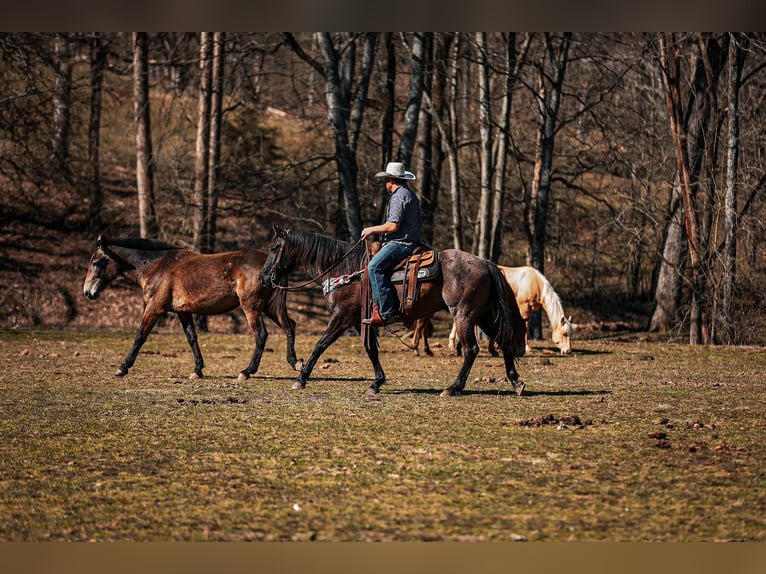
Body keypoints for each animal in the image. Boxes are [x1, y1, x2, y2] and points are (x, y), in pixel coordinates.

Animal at [82, 234, 302, 382]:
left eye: (96, 262)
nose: (87, 292)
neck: (157, 266)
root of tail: (271, 267)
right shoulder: (183, 312)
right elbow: (192, 338)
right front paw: (197, 370)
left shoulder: (154, 309)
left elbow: (140, 337)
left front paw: (123, 367)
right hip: (270, 307)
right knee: (289, 326)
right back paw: (295, 362)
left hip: (252, 307)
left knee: (261, 335)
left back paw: (246, 372)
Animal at [260, 227, 532, 398]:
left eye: (275, 247)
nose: (263, 277)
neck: (344, 271)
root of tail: (485, 262)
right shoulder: (360, 321)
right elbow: (371, 350)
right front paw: (376, 382)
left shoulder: (342, 317)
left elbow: (320, 345)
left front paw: (301, 378)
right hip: (483, 315)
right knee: (503, 343)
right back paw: (516, 382)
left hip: (464, 314)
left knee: (471, 349)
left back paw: (453, 387)